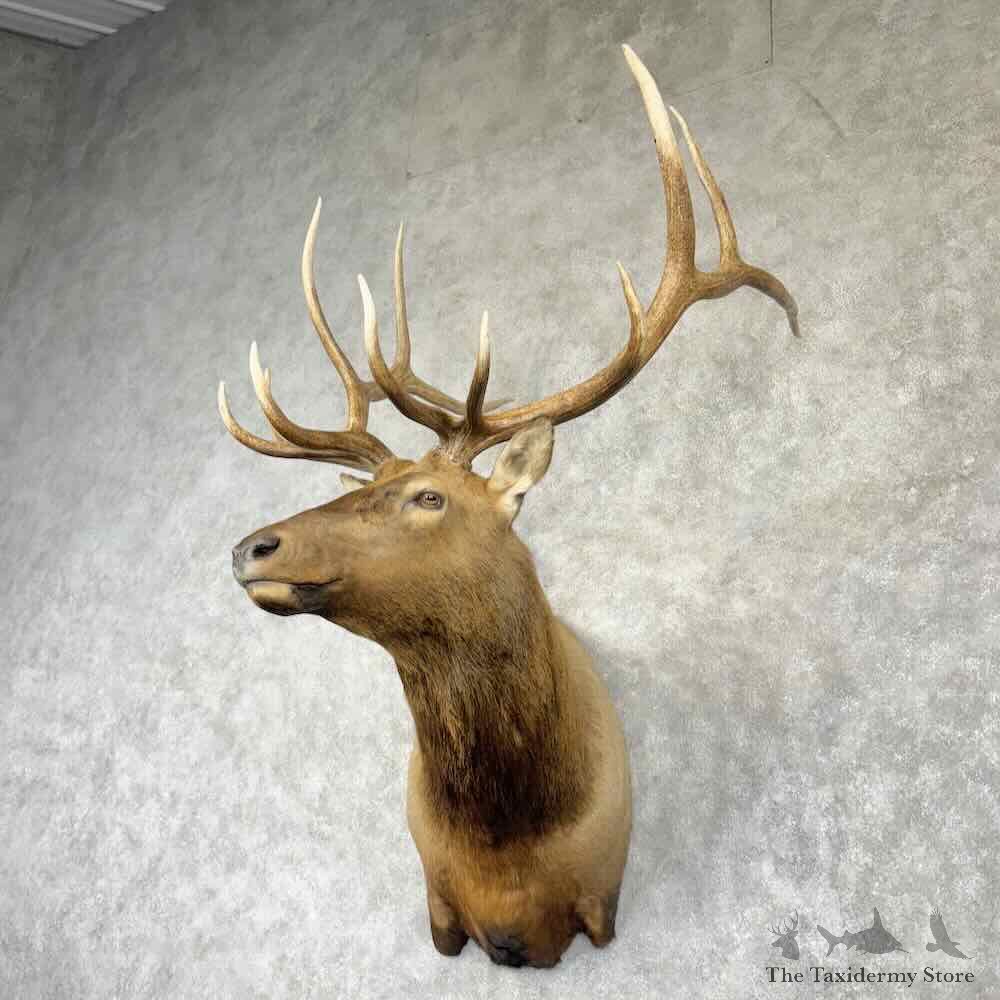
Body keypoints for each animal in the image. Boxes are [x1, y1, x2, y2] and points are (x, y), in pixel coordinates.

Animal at [218, 45, 798, 969]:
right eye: (370, 489)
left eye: (429, 496)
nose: (251, 547)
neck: (508, 853)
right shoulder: (438, 910)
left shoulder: (600, 898)